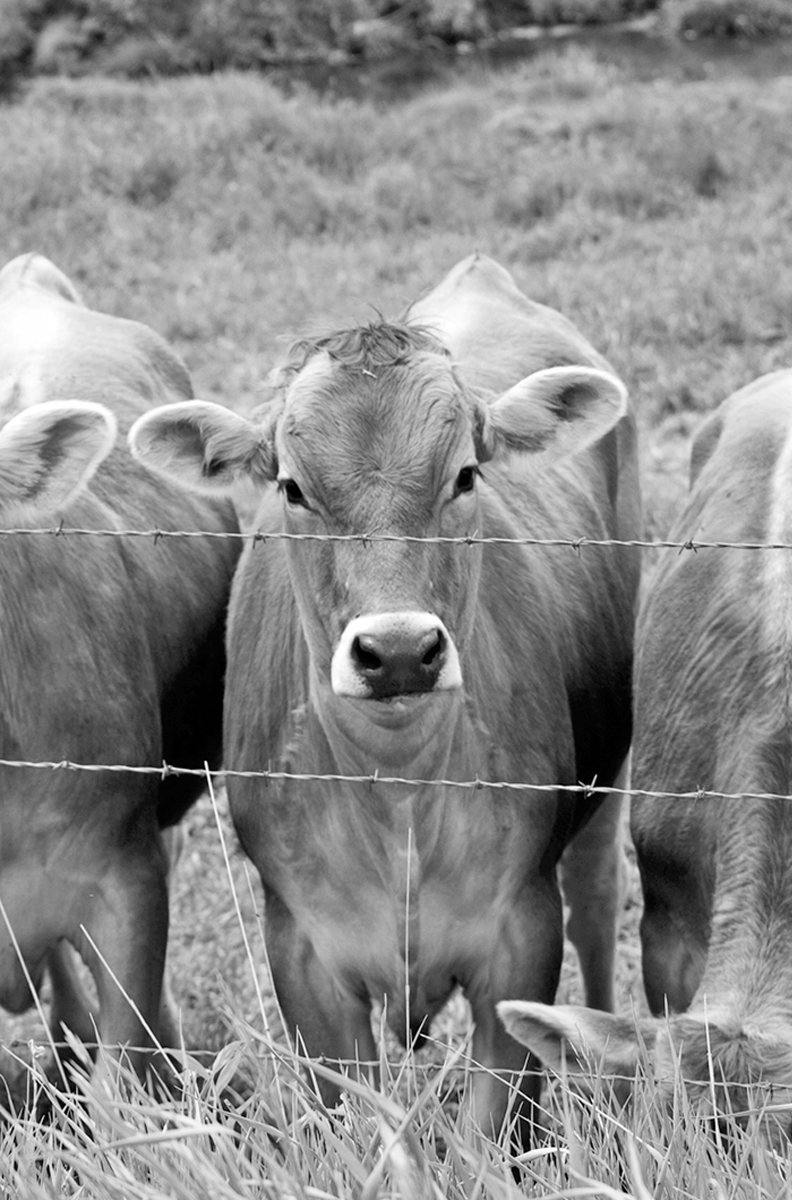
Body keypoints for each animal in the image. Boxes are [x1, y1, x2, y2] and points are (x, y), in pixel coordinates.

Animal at [129, 252, 641, 1141]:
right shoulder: (304, 955)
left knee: (598, 897)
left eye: (466, 474)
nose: (399, 650)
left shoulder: (520, 937)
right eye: (292, 488)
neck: (397, 790)